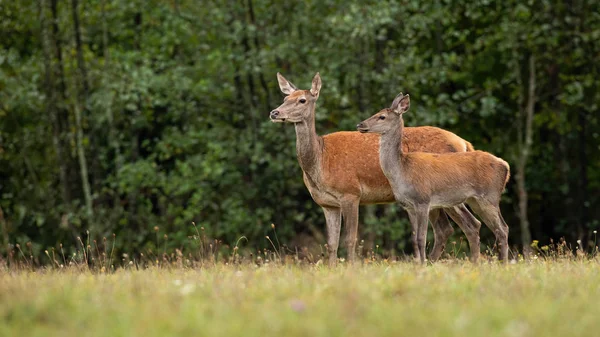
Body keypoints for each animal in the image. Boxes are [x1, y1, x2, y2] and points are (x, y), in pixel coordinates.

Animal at [270, 73, 486, 266]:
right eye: (285, 98)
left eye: (302, 100)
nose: (274, 113)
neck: (321, 161)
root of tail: (464, 143)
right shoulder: (327, 204)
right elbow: (331, 243)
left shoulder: (351, 193)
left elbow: (350, 239)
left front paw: (351, 269)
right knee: (448, 228)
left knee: (464, 225)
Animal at [356, 92, 510, 262]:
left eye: (382, 116)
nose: (360, 124)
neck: (402, 170)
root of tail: (506, 166)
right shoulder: (409, 206)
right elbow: (414, 239)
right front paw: (418, 263)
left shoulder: (423, 200)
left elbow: (421, 238)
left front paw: (423, 264)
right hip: (474, 200)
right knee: (485, 226)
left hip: (489, 196)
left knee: (503, 228)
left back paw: (504, 263)